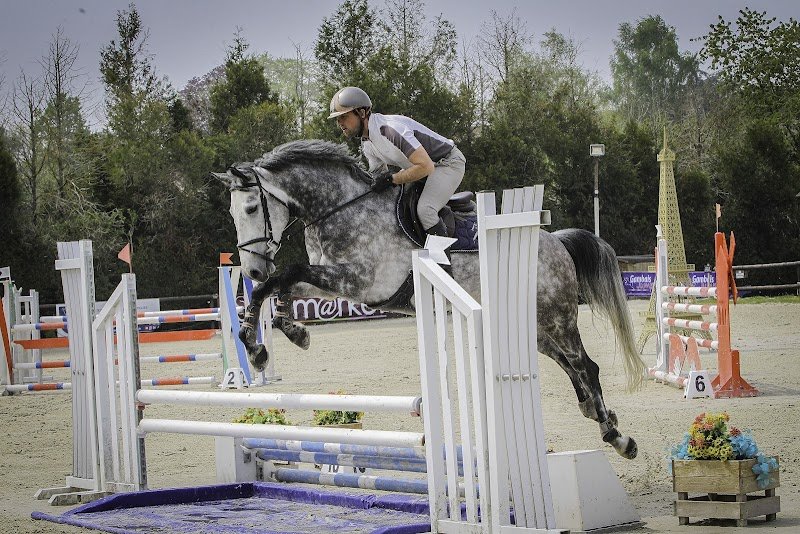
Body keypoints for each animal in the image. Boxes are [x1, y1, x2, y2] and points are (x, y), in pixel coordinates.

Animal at [211, 139, 646, 459]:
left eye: (251, 207)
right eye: (233, 213)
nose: (251, 270)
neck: (339, 209)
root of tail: (554, 240)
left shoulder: (362, 281)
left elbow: (286, 274)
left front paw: (263, 345)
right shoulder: (331, 283)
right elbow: (279, 287)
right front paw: (273, 339)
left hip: (557, 316)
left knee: (586, 365)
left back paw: (618, 437)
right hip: (533, 324)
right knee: (570, 366)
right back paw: (595, 412)